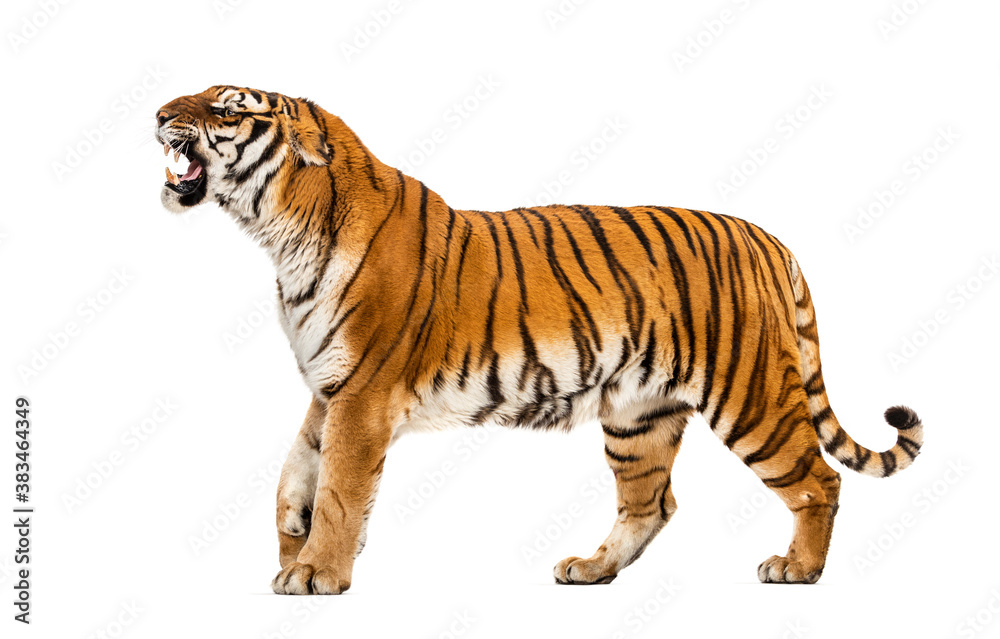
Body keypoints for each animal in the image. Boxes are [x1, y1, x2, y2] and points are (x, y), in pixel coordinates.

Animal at [154, 85, 924, 595]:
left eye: (227, 108)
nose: (159, 115)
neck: (280, 231)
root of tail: (769, 238)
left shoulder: (363, 395)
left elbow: (341, 487)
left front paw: (316, 572)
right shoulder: (330, 387)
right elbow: (296, 470)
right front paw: (294, 543)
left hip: (751, 394)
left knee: (817, 479)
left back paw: (799, 568)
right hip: (637, 415)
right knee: (652, 503)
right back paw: (592, 568)